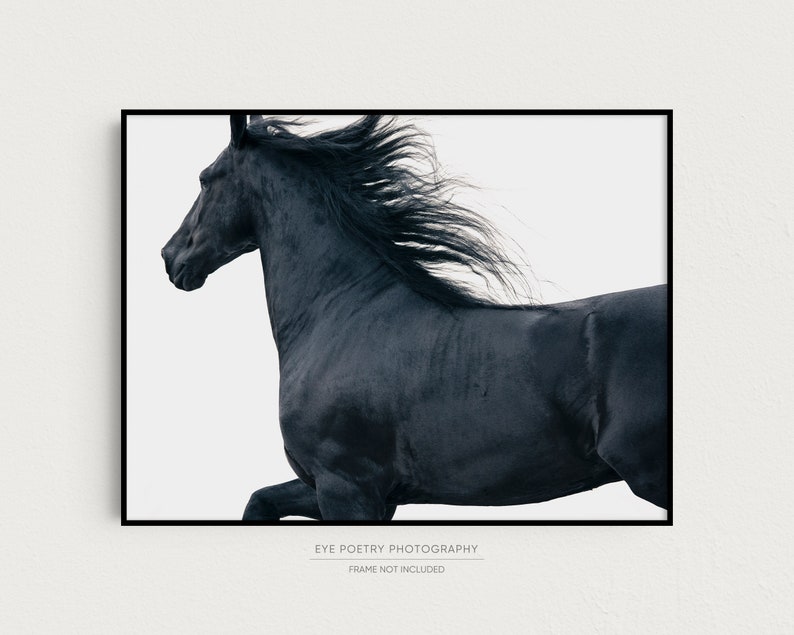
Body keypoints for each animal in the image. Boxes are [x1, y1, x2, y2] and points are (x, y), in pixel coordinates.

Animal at [161, 114, 669, 521]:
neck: (343, 313)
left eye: (205, 179)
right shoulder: (352, 492)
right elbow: (259, 501)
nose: (170, 258)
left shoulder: (346, 486)